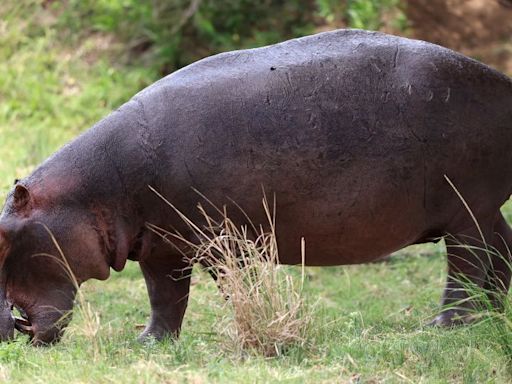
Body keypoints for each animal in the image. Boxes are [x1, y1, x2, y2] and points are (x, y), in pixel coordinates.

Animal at [1, 30, 512, 344]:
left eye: (6, 237)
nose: (10, 328)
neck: (91, 191)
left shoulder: (221, 242)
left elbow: (236, 287)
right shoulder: (161, 247)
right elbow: (165, 298)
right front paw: (148, 342)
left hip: (466, 213)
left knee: (466, 270)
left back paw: (443, 326)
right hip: (484, 212)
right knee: (501, 255)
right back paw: (498, 315)